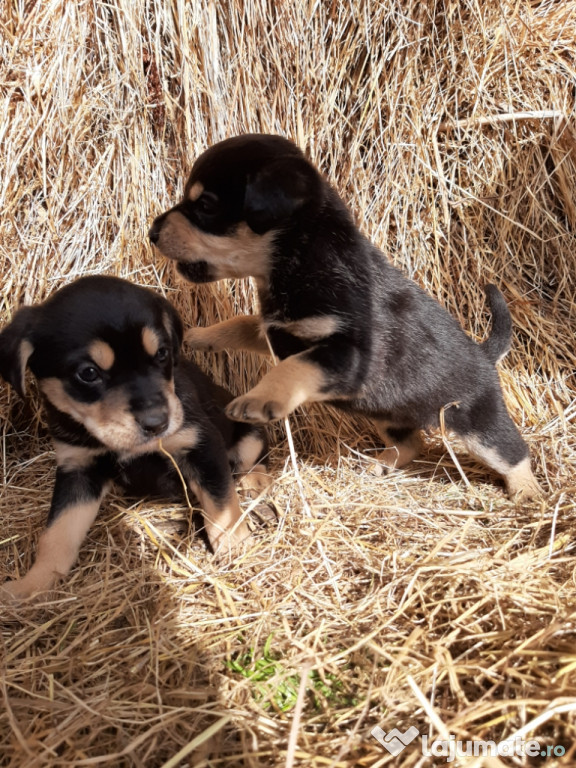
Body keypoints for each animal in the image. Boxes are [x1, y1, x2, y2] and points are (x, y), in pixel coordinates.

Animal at [0, 276, 266, 600]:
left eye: (162, 353)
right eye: (88, 373)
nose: (158, 423)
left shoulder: (201, 444)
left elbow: (222, 504)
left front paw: (235, 549)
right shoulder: (78, 468)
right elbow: (58, 532)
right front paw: (30, 587)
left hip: (250, 432)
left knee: (254, 459)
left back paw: (255, 481)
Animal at [147, 134, 540, 498]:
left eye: (206, 205)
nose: (151, 232)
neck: (302, 261)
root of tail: (485, 355)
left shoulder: (348, 354)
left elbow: (295, 367)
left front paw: (258, 400)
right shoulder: (278, 330)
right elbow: (243, 323)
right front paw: (200, 335)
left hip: (479, 423)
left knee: (514, 453)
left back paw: (527, 494)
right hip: (390, 415)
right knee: (413, 443)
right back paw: (382, 464)